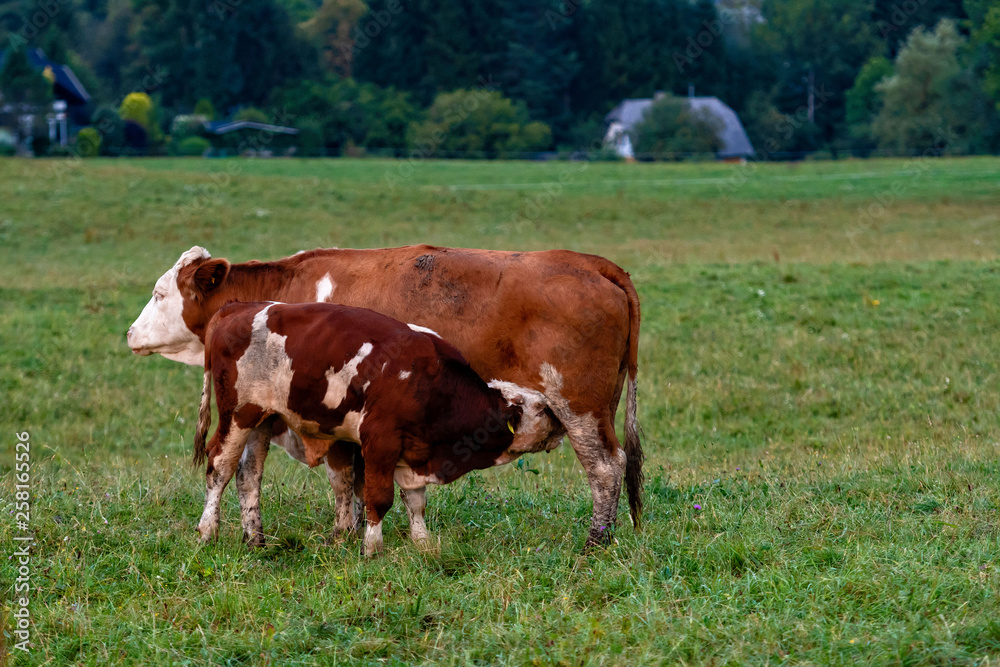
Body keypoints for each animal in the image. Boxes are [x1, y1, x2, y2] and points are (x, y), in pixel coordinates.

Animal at [191, 300, 560, 556]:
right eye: (542, 408)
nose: (559, 422)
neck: (433, 384)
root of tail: (238, 307)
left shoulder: (415, 450)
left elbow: (416, 501)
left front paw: (422, 543)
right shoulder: (380, 441)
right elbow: (379, 499)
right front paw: (371, 547)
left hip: (263, 420)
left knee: (249, 475)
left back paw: (255, 538)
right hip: (238, 414)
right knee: (219, 468)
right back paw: (207, 531)